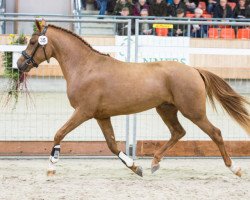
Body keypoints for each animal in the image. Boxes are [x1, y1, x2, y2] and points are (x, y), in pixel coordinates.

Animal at [16, 20, 249, 177]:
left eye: (34, 42)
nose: (20, 64)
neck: (85, 67)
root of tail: (194, 70)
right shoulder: (101, 116)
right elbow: (112, 145)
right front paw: (136, 167)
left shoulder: (83, 112)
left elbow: (59, 133)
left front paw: (50, 167)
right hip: (166, 109)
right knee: (178, 132)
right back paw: (154, 163)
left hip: (194, 112)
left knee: (215, 133)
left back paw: (235, 168)